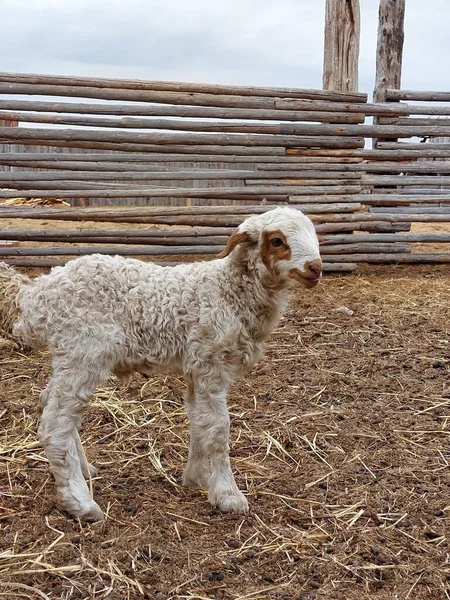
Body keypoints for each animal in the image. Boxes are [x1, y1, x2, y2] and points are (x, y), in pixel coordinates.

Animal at [0, 206, 324, 520]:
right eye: (277, 241)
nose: (316, 268)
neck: (227, 291)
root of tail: (37, 294)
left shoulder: (197, 366)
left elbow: (199, 420)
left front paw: (197, 478)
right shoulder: (212, 363)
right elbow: (218, 429)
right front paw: (228, 494)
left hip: (69, 356)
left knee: (50, 403)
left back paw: (82, 468)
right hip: (85, 351)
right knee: (56, 423)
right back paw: (81, 503)